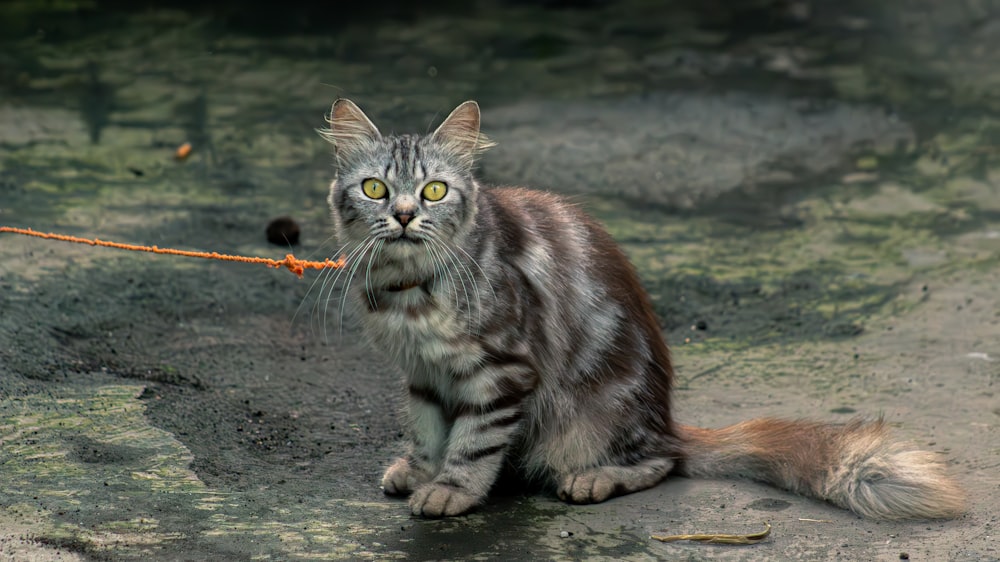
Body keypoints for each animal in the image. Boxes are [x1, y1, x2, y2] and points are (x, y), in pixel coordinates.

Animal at [320, 98, 960, 520]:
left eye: (434, 191)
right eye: (376, 189)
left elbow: (474, 441)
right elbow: (428, 431)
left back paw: (594, 480)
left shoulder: (502, 370)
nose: (405, 215)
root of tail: (667, 419)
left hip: (593, 414)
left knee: (661, 463)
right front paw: (422, 470)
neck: (407, 291)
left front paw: (451, 490)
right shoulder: (424, 374)